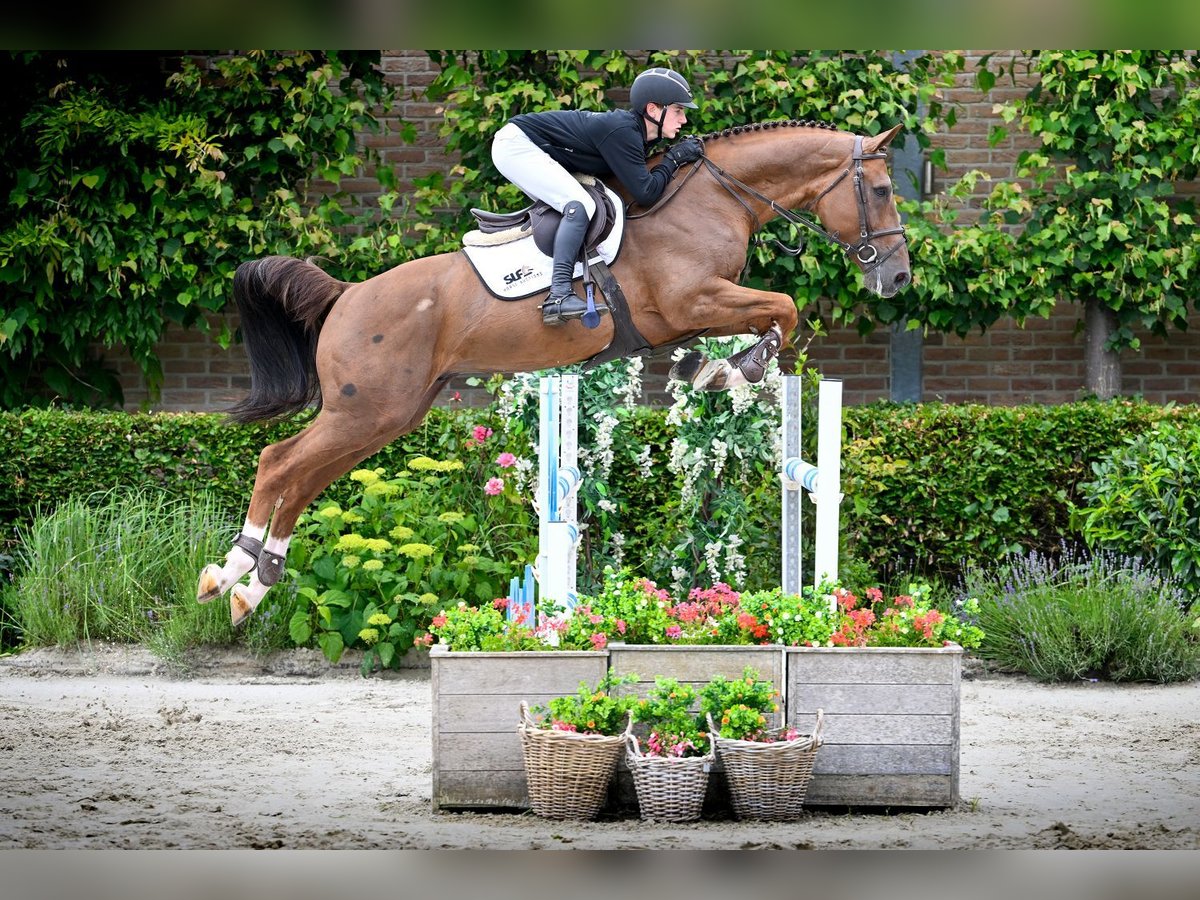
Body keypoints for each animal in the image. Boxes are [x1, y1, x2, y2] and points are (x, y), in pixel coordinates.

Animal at [196, 120, 907, 628]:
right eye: (880, 191)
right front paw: (739, 371)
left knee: (304, 475)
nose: (897, 278)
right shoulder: (694, 299)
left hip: (384, 414)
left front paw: (715, 369)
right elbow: (783, 307)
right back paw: (228, 574)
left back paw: (254, 586)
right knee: (279, 463)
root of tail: (345, 296)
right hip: (364, 409)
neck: (712, 199)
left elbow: (765, 317)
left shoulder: (695, 312)